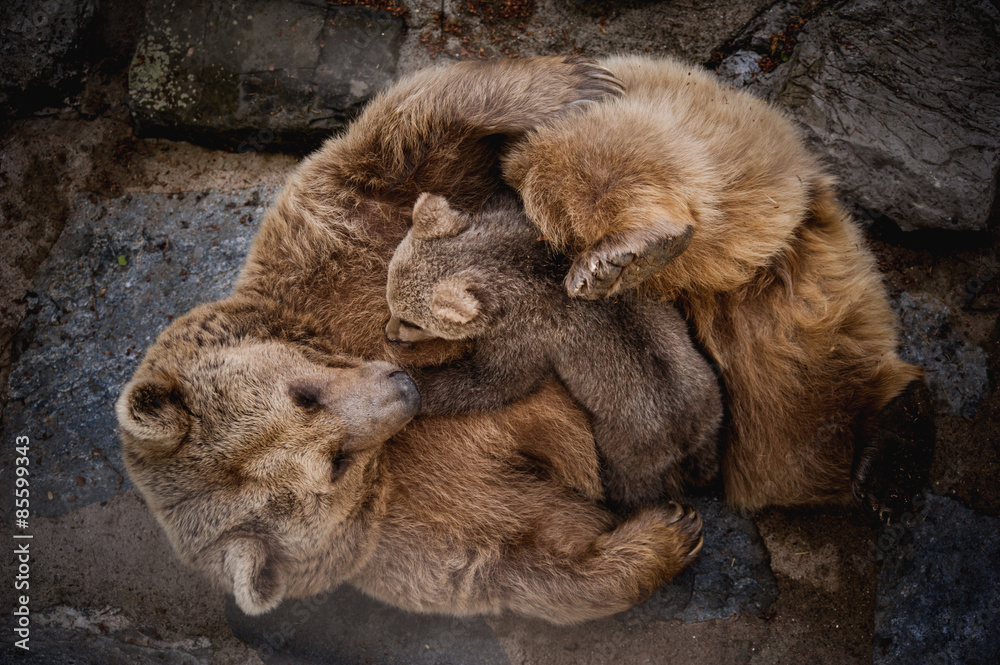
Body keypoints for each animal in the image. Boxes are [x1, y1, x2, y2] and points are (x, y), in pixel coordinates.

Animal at [384, 189, 722, 512]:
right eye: (391, 301)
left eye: (411, 322)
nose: (389, 335)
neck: (503, 262)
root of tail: (686, 432)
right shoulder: (519, 224)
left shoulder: (524, 334)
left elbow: (494, 382)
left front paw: (414, 384)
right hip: (707, 393)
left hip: (631, 442)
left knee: (632, 482)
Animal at [502, 55, 934, 516]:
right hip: (788, 267)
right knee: (796, 414)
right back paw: (892, 448)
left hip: (685, 123)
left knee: (582, 157)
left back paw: (625, 252)